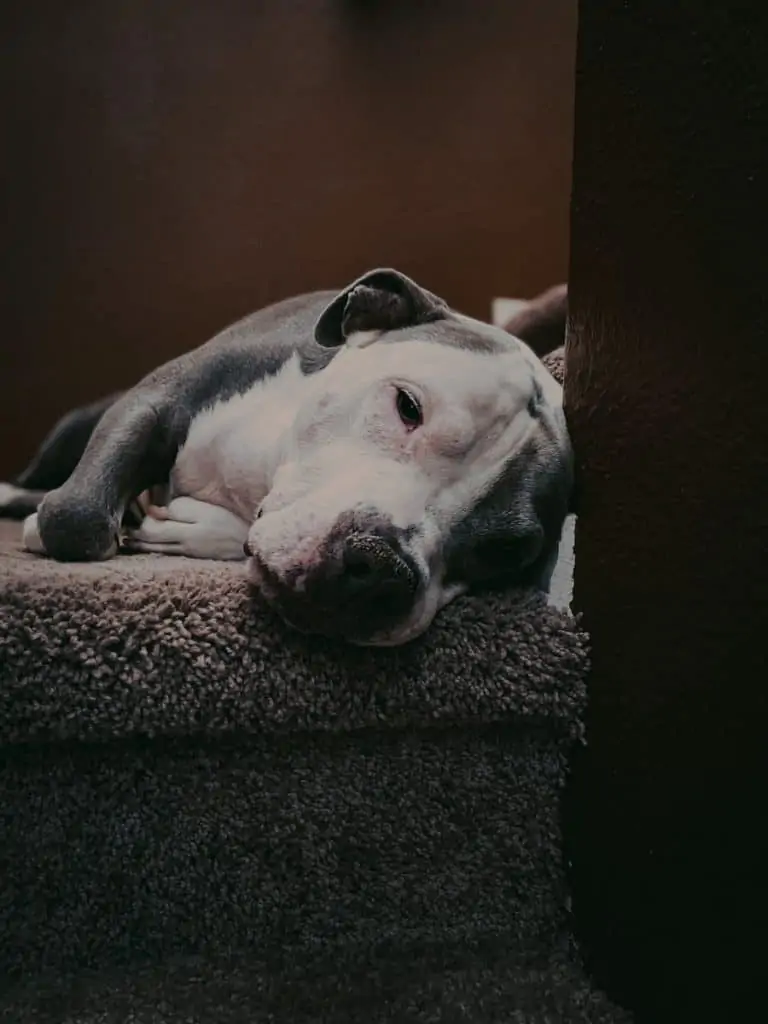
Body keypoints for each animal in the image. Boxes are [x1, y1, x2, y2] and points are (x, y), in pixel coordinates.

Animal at [0, 268, 573, 643]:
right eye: (408, 406)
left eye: (504, 552)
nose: (381, 567)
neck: (266, 467)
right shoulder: (157, 399)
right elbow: (77, 518)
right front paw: (59, 525)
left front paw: (183, 528)